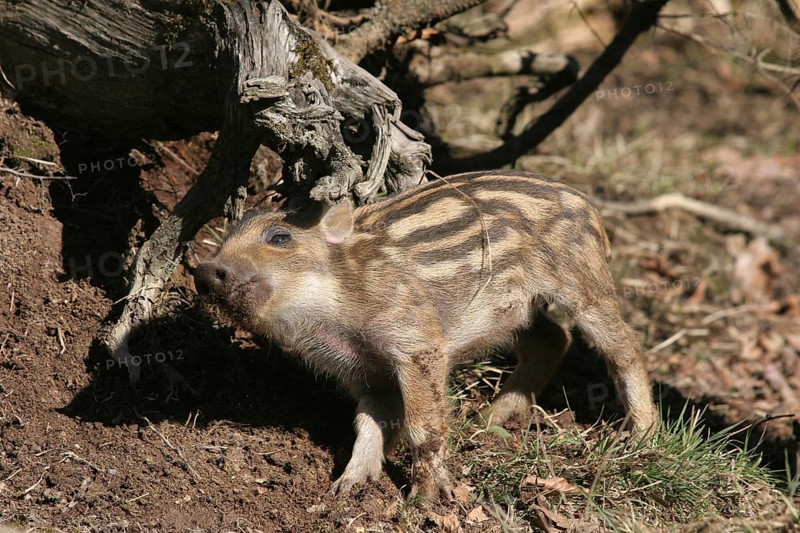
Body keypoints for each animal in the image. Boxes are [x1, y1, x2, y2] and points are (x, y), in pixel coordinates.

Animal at [193, 170, 658, 500]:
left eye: (279, 237)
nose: (205, 269)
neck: (334, 303)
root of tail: (588, 206)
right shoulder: (364, 371)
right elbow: (369, 422)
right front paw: (345, 488)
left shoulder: (416, 346)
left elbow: (423, 426)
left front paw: (426, 500)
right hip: (518, 311)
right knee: (553, 340)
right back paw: (486, 422)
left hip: (583, 284)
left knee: (624, 347)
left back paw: (641, 435)